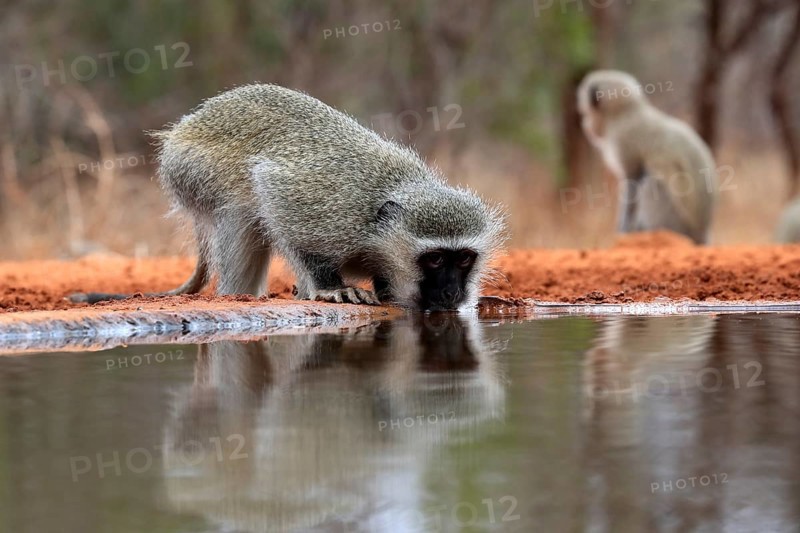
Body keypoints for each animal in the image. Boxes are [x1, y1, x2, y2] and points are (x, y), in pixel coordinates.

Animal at [71, 84, 506, 310]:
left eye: (463, 259)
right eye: (434, 260)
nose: (452, 293)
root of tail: (186, 125)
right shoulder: (330, 208)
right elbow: (275, 199)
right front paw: (331, 287)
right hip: (190, 168)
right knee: (241, 213)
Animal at [577, 70, 717, 244]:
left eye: (586, 114)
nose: (586, 124)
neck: (626, 113)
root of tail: (700, 233)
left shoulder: (622, 140)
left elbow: (632, 181)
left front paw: (623, 230)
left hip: (676, 221)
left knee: (650, 181)